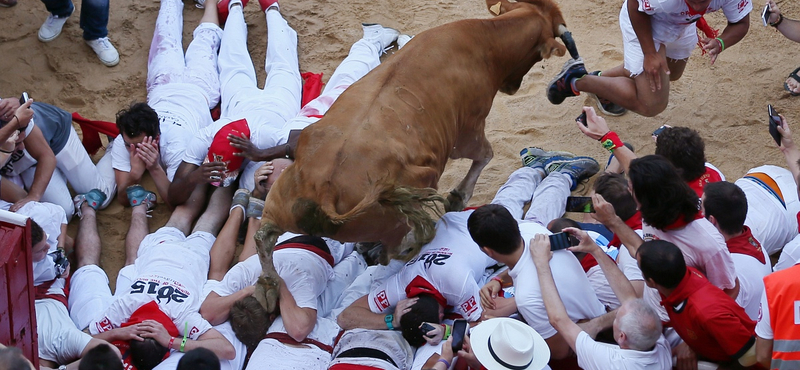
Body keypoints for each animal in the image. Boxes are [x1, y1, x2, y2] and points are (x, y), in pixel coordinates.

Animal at [253, 0, 572, 310]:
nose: (513, 86)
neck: (483, 40)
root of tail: (324, 193)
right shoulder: (467, 133)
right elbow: (485, 155)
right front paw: (457, 197)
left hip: (279, 200)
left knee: (263, 235)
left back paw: (267, 287)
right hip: (403, 212)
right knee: (396, 250)